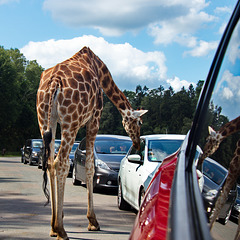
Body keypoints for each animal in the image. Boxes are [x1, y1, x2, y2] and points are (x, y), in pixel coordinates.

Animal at [36, 46, 147, 239]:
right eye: (139, 123)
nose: (138, 144)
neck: (101, 71)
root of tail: (54, 83)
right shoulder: (94, 118)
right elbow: (89, 166)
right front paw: (93, 221)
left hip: (45, 119)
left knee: (50, 162)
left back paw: (53, 226)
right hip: (70, 122)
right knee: (61, 162)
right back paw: (61, 230)